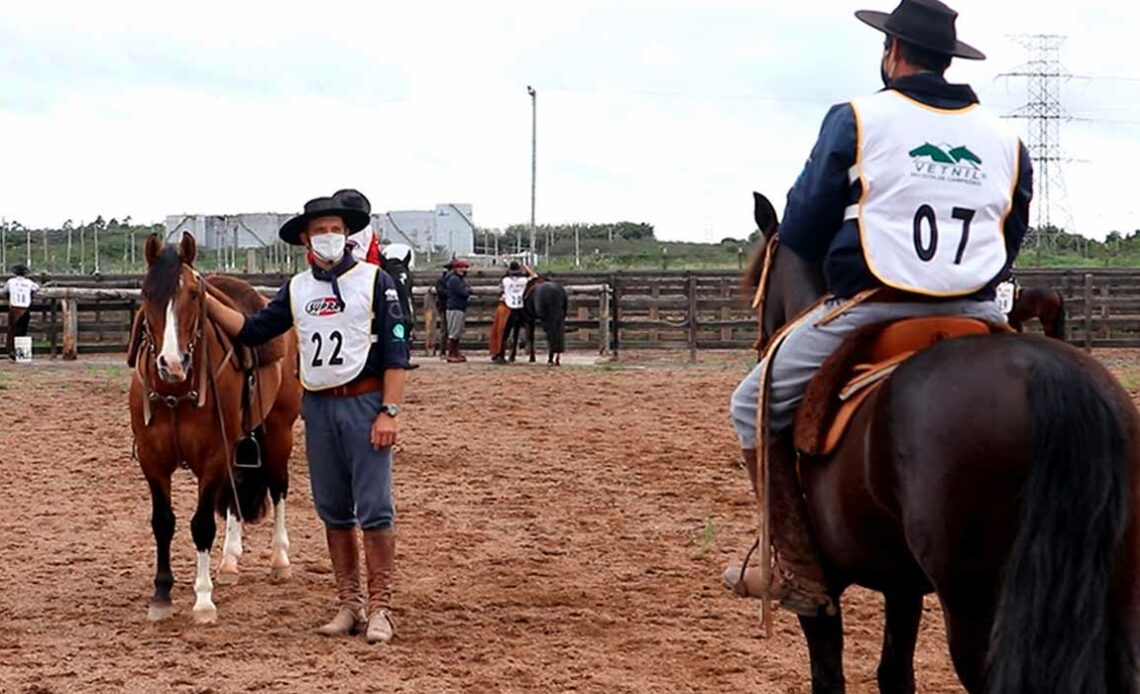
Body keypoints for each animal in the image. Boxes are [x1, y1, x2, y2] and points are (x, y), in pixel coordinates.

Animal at [128, 231, 303, 624]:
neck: (176, 392)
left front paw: (203, 600)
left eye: (194, 293)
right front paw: (161, 595)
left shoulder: (213, 455)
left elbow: (202, 524)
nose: (172, 363)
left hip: (278, 431)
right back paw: (229, 561)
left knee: (278, 488)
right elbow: (163, 522)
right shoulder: (152, 459)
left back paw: (280, 560)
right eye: (147, 292)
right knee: (235, 493)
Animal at [738, 190, 1140, 692]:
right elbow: (894, 673)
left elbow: (829, 675)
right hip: (1113, 597)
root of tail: (1048, 372)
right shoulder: (902, 582)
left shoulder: (824, 595)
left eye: (758, 275)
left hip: (975, 609)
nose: (760, 342)